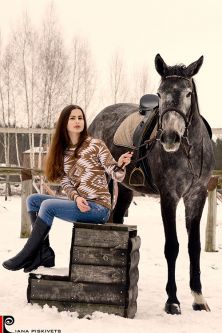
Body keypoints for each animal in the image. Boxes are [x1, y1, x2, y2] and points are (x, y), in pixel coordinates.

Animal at [88, 54, 213, 314]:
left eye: (188, 93)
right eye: (160, 93)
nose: (170, 138)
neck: (189, 151)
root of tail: (99, 116)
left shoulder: (197, 196)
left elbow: (194, 247)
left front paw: (198, 298)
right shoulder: (169, 197)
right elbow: (172, 247)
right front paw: (172, 300)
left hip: (126, 189)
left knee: (117, 218)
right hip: (106, 182)